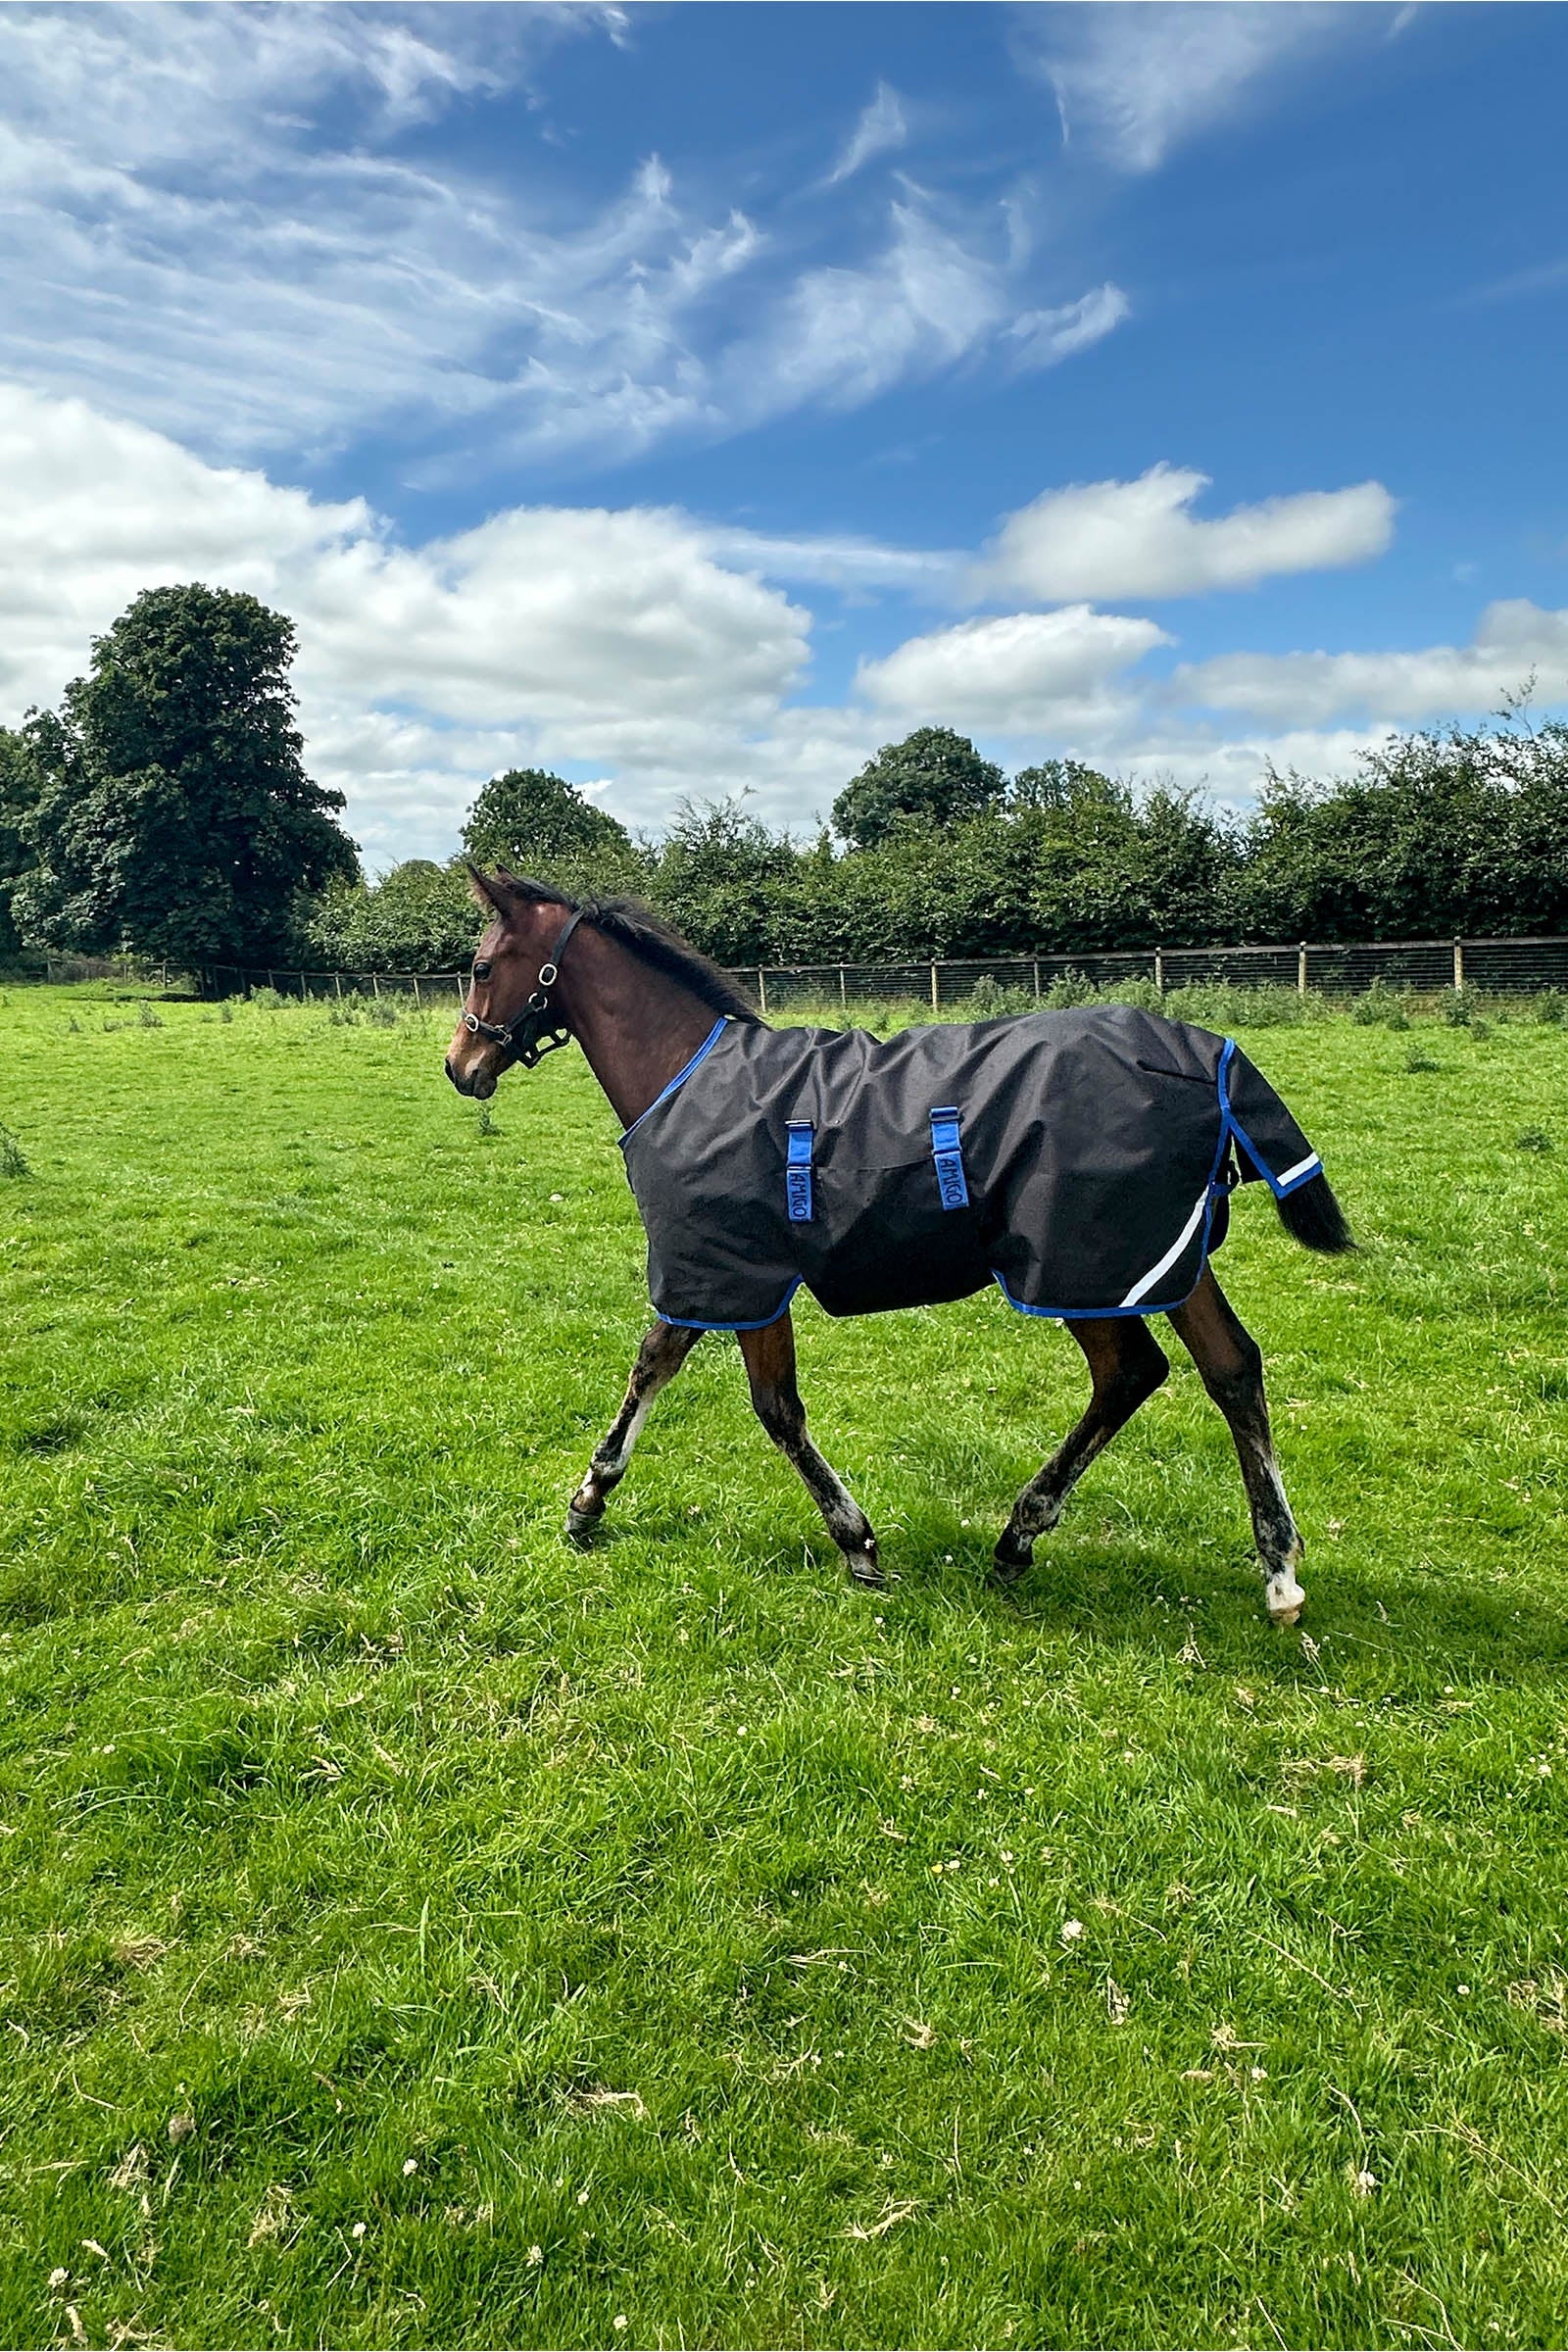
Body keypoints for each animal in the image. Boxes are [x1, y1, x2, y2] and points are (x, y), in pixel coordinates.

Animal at [444, 870, 1353, 1625]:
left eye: (484, 966)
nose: (460, 1065)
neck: (688, 1076)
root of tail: (1208, 1055)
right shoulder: (727, 1276)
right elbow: (680, 1372)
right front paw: (592, 1500)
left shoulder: (734, 1274)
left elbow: (745, 1398)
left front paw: (853, 1542)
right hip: (1160, 1260)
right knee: (1230, 1368)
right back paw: (1277, 1569)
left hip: (1078, 1267)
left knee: (1132, 1371)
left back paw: (1023, 1536)